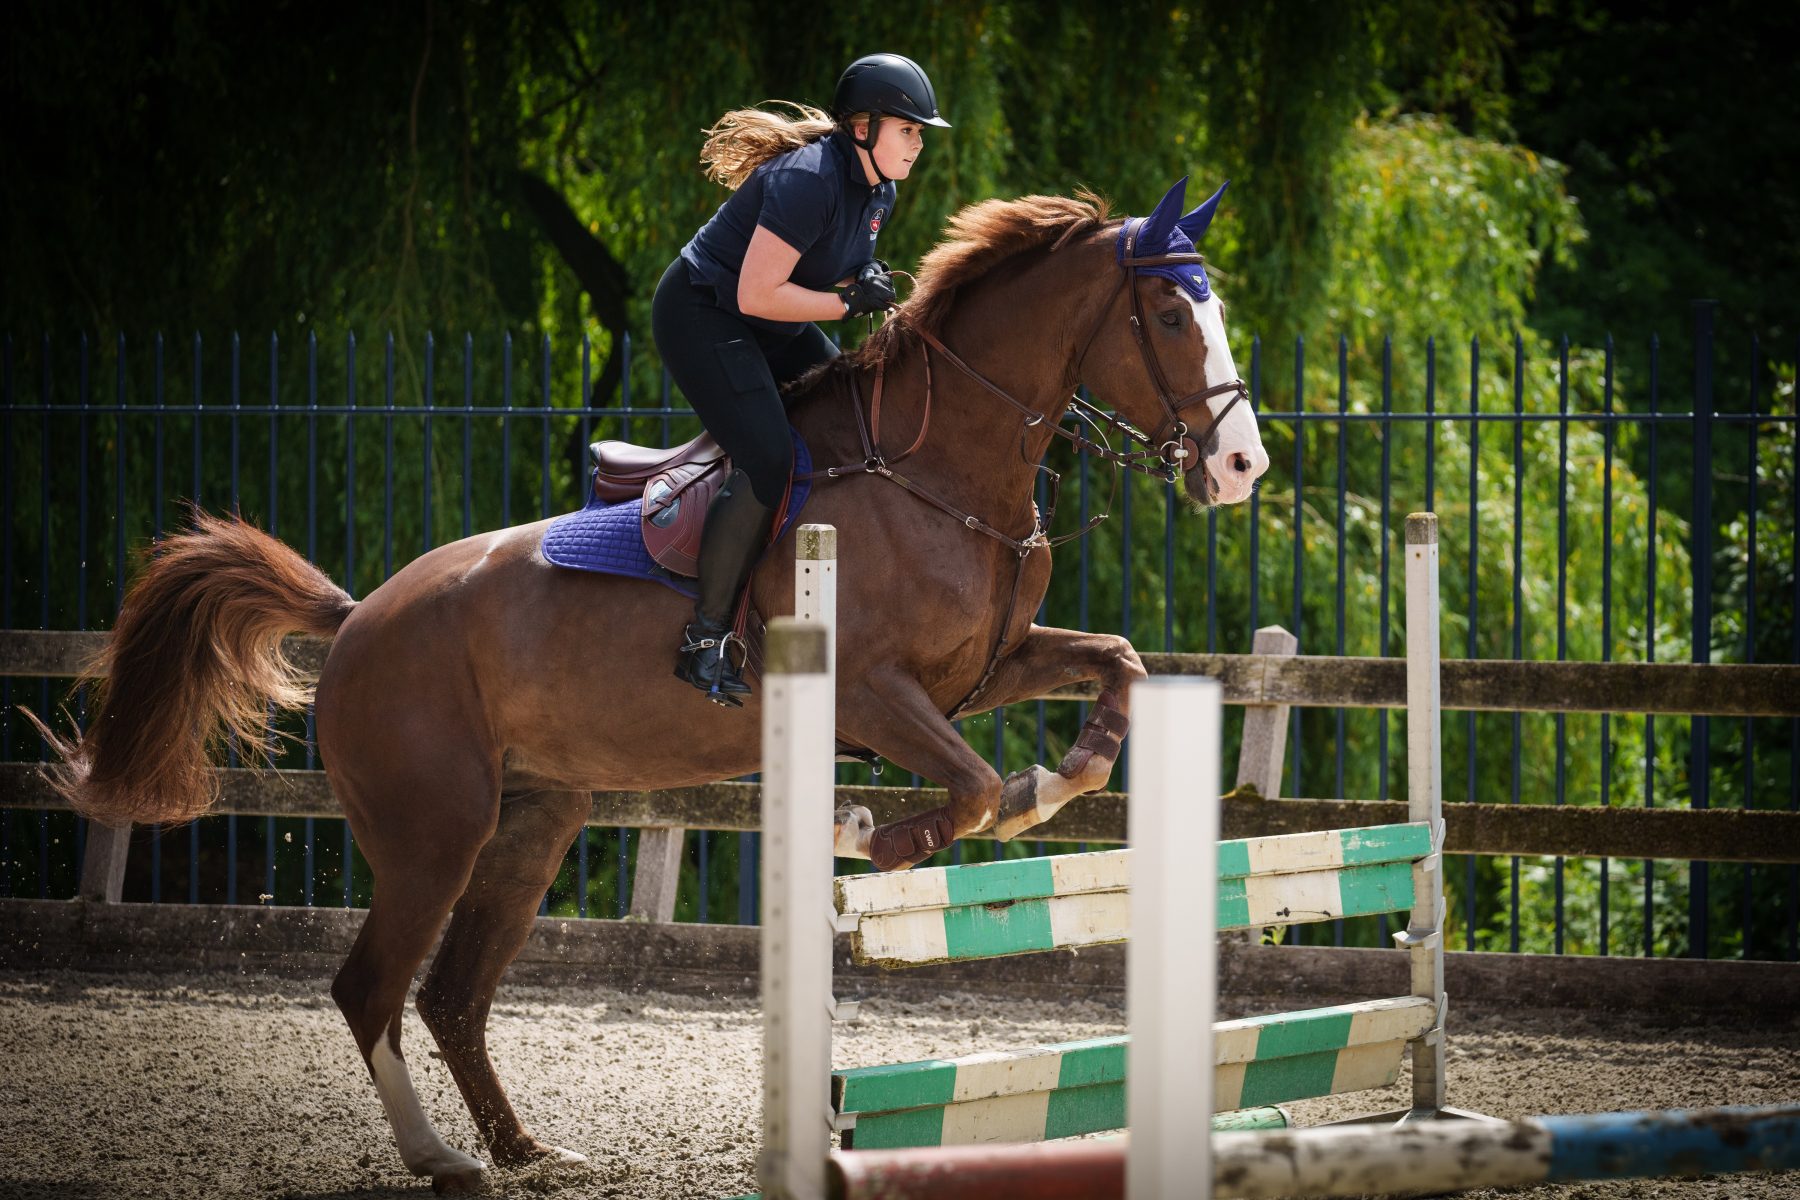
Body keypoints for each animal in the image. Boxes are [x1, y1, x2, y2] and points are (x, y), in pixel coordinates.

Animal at [28, 173, 1267, 1187]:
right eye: (1169, 315)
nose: (1241, 465)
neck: (939, 467)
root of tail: (359, 617)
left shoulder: (988, 667)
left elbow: (1111, 671)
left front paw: (1067, 773)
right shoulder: (874, 692)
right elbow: (970, 790)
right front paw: (873, 835)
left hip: (533, 821)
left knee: (452, 994)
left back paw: (526, 1150)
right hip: (435, 833)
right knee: (371, 988)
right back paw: (442, 1159)